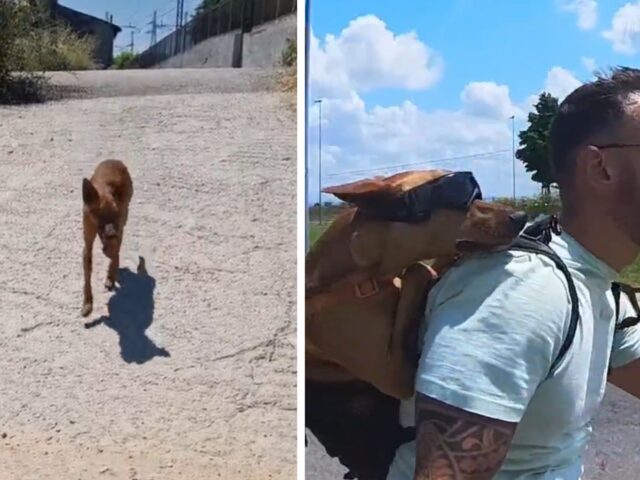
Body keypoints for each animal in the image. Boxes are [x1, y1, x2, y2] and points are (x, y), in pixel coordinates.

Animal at [81, 159, 134, 318]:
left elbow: (114, 253)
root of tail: (116, 161)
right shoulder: (88, 244)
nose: (111, 233)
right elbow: (87, 276)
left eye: (115, 215)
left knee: (116, 250)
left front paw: (111, 274)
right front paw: (88, 303)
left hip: (124, 218)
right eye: (100, 216)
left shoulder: (118, 225)